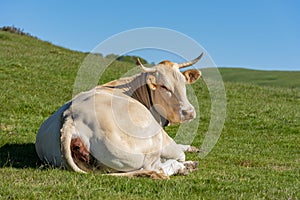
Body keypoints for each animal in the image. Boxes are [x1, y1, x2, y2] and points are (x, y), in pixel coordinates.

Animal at [35, 52, 204, 179]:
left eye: (183, 82)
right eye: (163, 86)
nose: (189, 112)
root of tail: (69, 117)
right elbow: (179, 153)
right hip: (149, 144)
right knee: (158, 167)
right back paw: (186, 166)